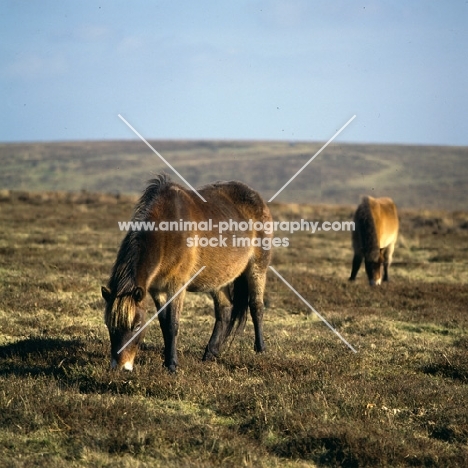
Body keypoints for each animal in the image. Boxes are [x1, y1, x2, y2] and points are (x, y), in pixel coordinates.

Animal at [100, 174, 272, 372]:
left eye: (136, 326)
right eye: (109, 325)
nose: (120, 367)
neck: (167, 234)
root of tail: (256, 197)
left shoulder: (177, 286)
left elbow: (172, 324)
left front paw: (172, 365)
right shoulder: (157, 290)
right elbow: (164, 323)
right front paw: (167, 360)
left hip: (258, 268)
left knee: (256, 306)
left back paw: (261, 349)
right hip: (218, 279)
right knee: (225, 310)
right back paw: (210, 354)